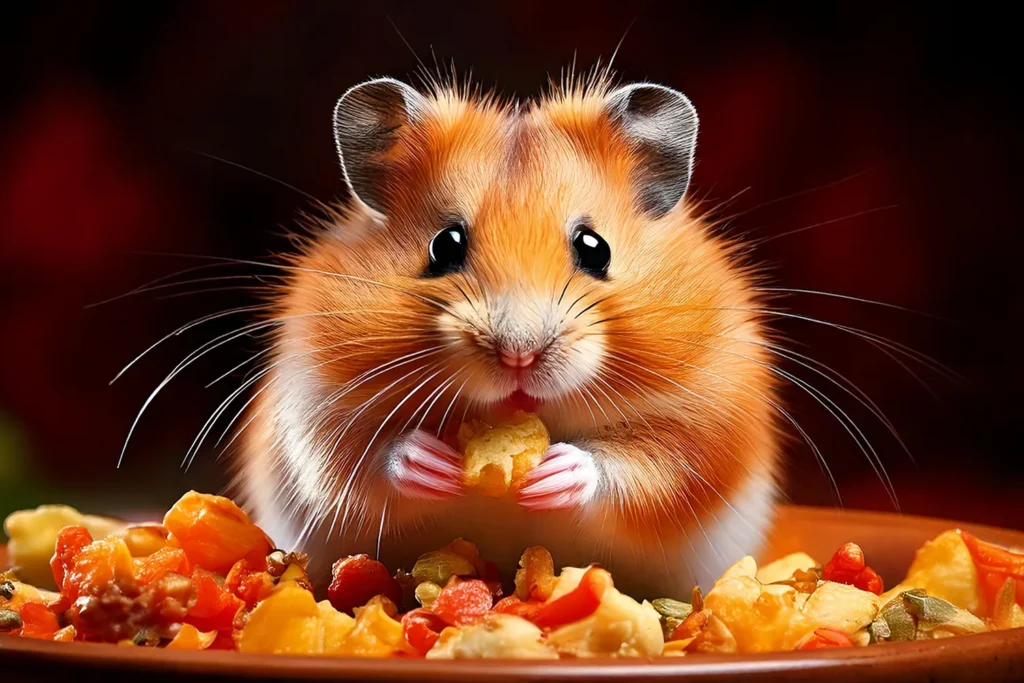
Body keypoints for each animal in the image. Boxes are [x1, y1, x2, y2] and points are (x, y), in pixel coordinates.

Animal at [234, 73, 780, 600]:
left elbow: (654, 465)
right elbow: (356, 456)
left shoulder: (712, 412)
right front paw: (433, 463)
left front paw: (552, 474)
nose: (520, 355)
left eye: (595, 248)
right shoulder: (313, 395)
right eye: (445, 245)